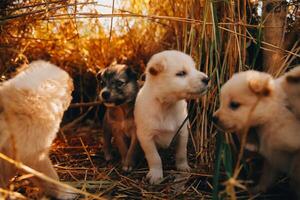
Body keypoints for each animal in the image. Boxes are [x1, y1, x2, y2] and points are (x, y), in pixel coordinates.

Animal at [134, 50, 209, 184]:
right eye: (181, 73)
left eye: (194, 68)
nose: (207, 79)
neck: (166, 106)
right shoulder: (146, 137)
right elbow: (154, 157)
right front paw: (156, 175)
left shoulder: (183, 132)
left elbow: (181, 152)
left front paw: (183, 167)